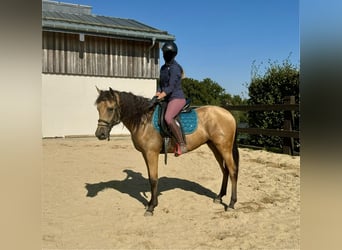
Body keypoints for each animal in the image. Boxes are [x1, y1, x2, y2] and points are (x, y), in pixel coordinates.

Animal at [93, 87, 238, 216]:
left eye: (110, 109)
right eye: (98, 108)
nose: (100, 134)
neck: (144, 120)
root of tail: (228, 114)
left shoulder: (151, 153)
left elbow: (153, 179)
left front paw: (151, 207)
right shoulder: (145, 154)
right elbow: (150, 178)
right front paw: (151, 203)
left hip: (224, 148)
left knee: (232, 171)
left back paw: (231, 204)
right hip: (215, 147)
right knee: (225, 171)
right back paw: (219, 197)